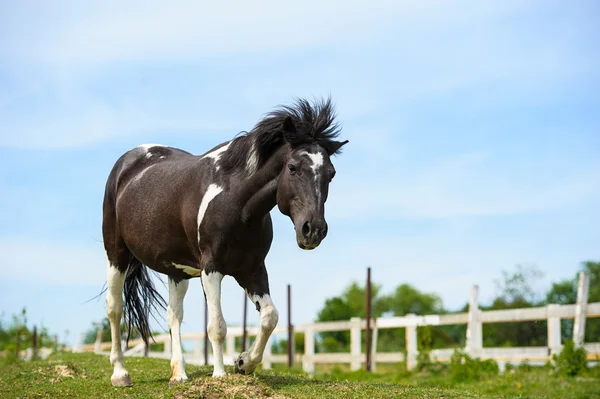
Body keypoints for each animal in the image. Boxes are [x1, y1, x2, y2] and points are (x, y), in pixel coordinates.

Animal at [102, 97, 346, 388]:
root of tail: (126, 162)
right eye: (293, 168)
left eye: (331, 173)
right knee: (115, 309)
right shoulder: (212, 268)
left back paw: (179, 374)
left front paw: (244, 362)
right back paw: (120, 374)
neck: (237, 203)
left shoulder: (252, 270)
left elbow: (269, 317)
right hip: (116, 254)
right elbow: (217, 325)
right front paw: (220, 374)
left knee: (174, 316)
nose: (314, 230)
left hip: (177, 272)